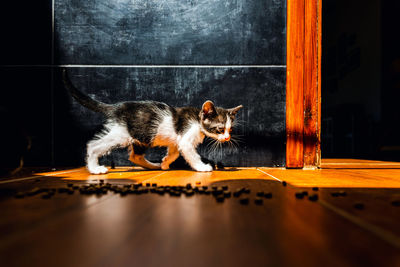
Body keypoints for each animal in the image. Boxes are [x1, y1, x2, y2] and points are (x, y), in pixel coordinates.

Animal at [62, 69, 244, 175]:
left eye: (230, 130)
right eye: (220, 129)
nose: (227, 138)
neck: (197, 120)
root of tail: (117, 106)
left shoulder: (176, 140)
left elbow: (174, 152)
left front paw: (165, 163)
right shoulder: (185, 138)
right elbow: (191, 154)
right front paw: (202, 167)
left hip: (142, 137)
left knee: (134, 156)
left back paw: (154, 166)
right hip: (122, 133)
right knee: (93, 146)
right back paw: (94, 168)